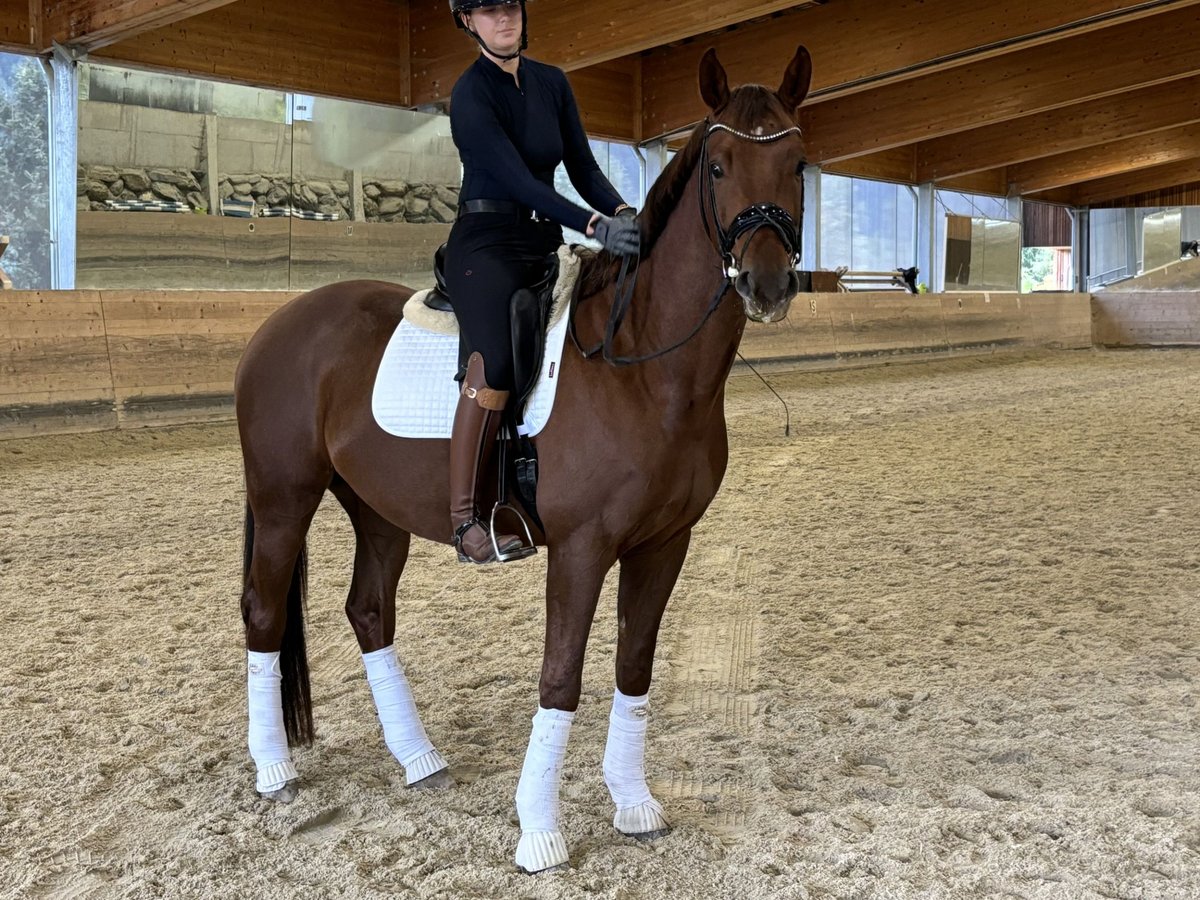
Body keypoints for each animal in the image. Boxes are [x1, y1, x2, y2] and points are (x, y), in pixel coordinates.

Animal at [234, 44, 811, 873]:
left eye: (797, 164)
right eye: (718, 165)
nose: (766, 283)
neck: (644, 367)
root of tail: (276, 325)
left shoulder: (665, 543)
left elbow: (633, 666)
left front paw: (633, 803)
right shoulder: (581, 547)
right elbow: (561, 677)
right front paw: (539, 831)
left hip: (376, 508)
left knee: (369, 611)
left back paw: (419, 759)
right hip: (284, 497)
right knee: (263, 610)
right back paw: (274, 769)